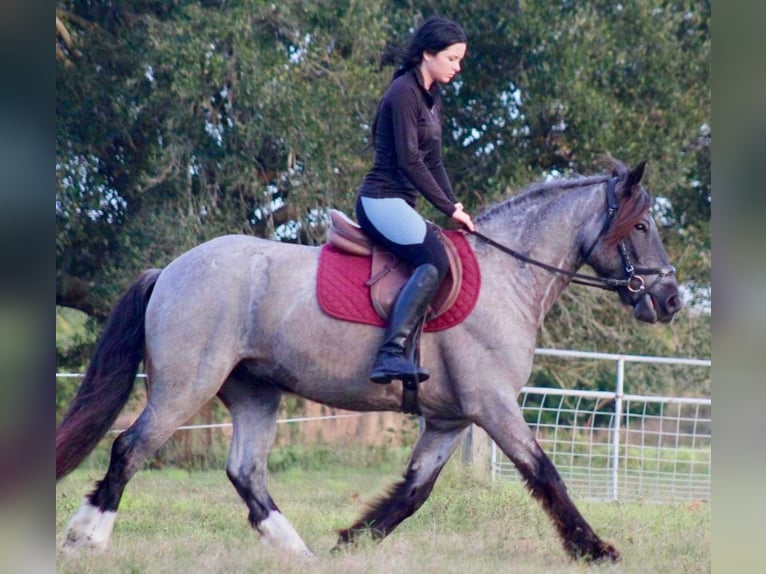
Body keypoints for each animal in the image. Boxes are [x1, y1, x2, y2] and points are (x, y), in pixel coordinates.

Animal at [57, 160, 688, 564]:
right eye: (641, 225)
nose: (671, 300)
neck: (510, 274)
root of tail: (171, 269)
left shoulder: (451, 418)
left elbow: (413, 491)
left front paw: (350, 542)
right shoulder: (491, 405)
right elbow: (545, 472)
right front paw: (595, 549)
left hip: (255, 391)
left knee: (245, 472)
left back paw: (300, 553)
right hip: (187, 384)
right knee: (130, 447)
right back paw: (88, 537)